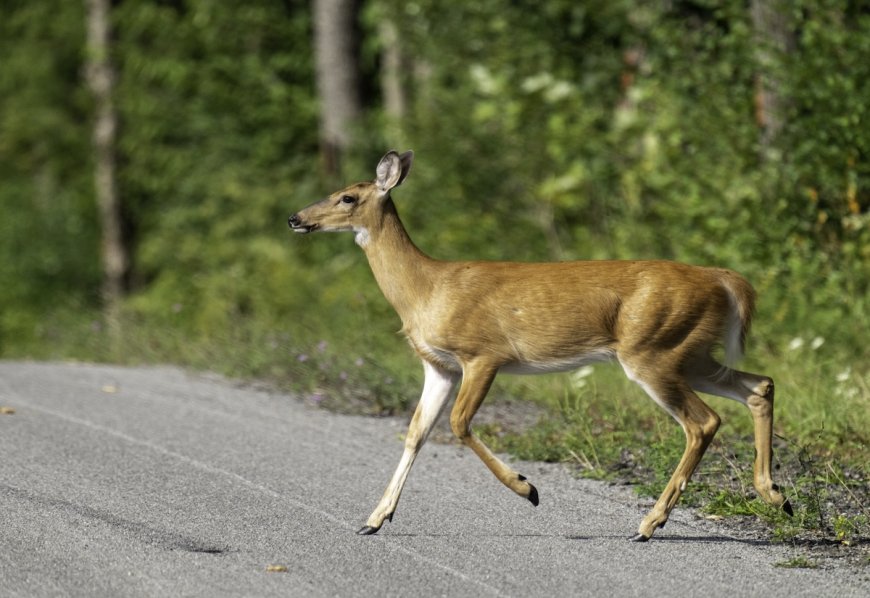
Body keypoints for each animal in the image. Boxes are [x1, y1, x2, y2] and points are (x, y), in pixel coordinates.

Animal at [288, 150, 793, 541]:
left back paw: (650, 524)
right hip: (690, 353)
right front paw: (374, 519)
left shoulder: (483, 354)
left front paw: (527, 489)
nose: (295, 218)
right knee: (758, 385)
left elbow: (457, 424)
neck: (425, 289)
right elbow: (416, 432)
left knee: (703, 421)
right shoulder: (439, 365)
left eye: (347, 196)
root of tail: (724, 280)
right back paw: (775, 495)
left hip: (652, 350)